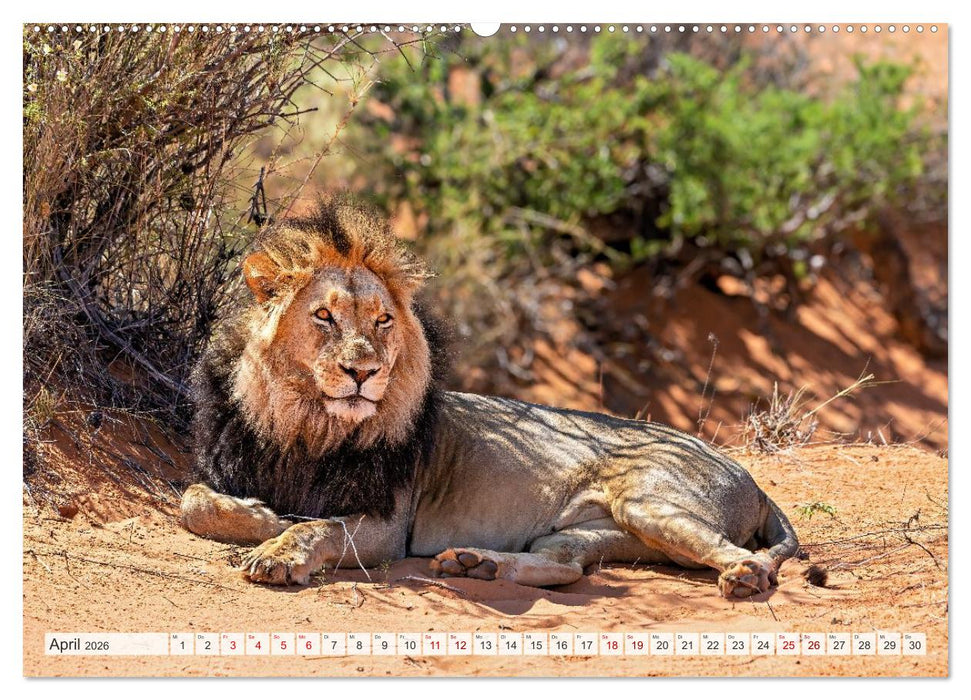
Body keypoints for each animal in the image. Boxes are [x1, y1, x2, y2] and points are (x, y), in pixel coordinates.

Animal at [180, 197, 799, 598]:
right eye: (323, 316)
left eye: (383, 320)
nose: (364, 371)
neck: (307, 426)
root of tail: (750, 477)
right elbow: (194, 502)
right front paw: (259, 516)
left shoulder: (387, 526)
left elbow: (316, 527)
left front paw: (278, 552)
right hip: (589, 532)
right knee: (567, 567)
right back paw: (477, 565)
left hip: (648, 502)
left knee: (749, 559)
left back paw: (743, 578)